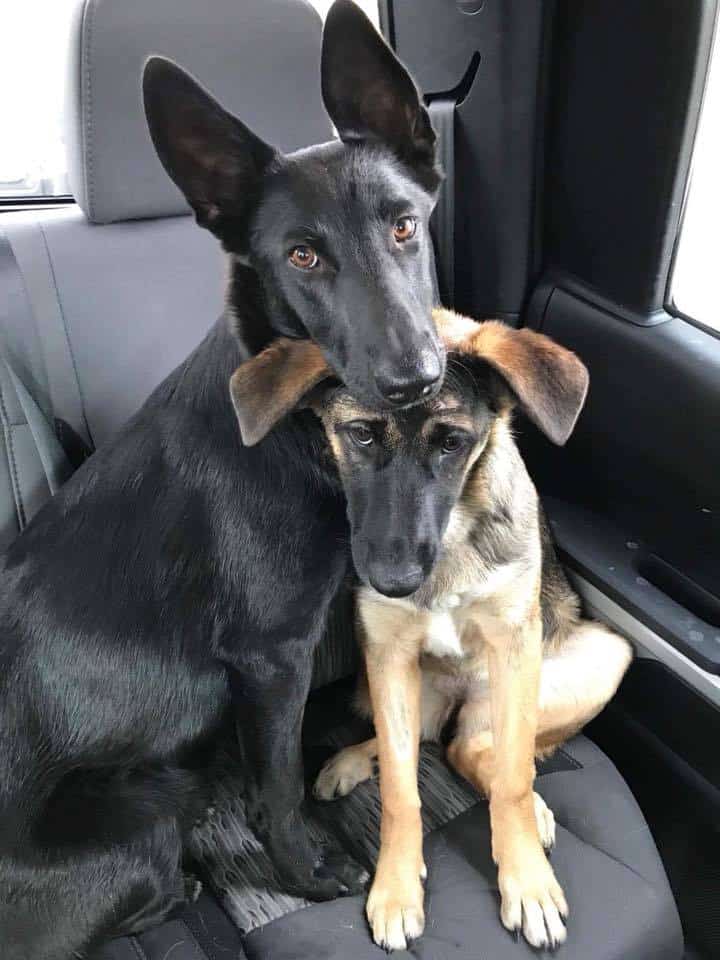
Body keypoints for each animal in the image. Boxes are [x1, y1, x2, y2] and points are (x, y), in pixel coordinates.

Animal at [0, 1, 444, 960]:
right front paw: (307, 872)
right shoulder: (271, 656)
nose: (415, 382)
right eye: (303, 258)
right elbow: (277, 786)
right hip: (137, 816)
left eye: (404, 226)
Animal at [231, 310, 632, 952]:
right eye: (360, 435)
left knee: (476, 748)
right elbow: (401, 790)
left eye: (452, 442)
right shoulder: (387, 652)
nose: (392, 580)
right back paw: (350, 764)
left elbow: (514, 776)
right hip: (385, 686)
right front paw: (396, 889)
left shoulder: (515, 643)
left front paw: (528, 882)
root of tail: (459, 700)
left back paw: (533, 807)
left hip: (599, 657)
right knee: (422, 740)